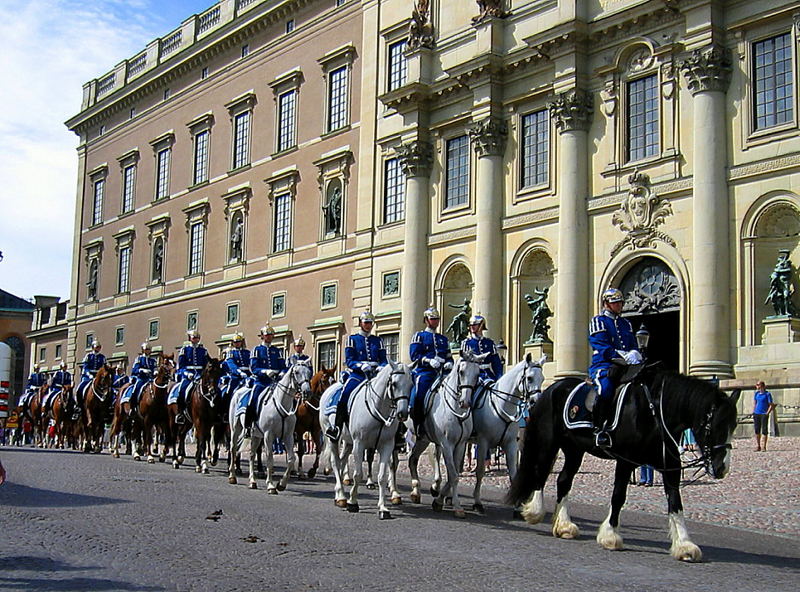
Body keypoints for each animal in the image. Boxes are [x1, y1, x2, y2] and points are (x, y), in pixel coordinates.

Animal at [228, 358, 312, 492]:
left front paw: (281, 484)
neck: (282, 404)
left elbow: (291, 459)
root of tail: (239, 391)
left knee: (252, 455)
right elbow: (269, 459)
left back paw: (252, 481)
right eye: (297, 372)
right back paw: (232, 476)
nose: (307, 392)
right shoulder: (269, 436)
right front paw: (271, 485)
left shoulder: (288, 436)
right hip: (235, 429)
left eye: (309, 372)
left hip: (256, 435)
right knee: (233, 448)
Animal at [318, 360, 412, 520]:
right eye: (394, 384)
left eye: (411, 384)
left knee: (342, 460)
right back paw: (342, 496)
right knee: (335, 462)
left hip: (348, 442)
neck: (379, 409)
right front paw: (353, 503)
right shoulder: (359, 444)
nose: (402, 414)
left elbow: (382, 476)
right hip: (333, 439)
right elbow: (358, 474)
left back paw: (339, 494)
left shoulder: (387, 445)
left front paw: (383, 508)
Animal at [410, 350, 490, 516]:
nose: (466, 402)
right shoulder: (446, 443)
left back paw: (416, 491)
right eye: (461, 371)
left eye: (477, 373)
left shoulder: (460, 444)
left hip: (422, 439)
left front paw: (439, 497)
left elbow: (455, 473)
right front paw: (456, 506)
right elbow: (453, 474)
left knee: (412, 459)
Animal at [472, 354, 548, 516]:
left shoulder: (511, 444)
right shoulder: (483, 442)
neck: (501, 405)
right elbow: (480, 471)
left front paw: (517, 507)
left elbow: (513, 473)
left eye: (543, 378)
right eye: (529, 378)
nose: (536, 402)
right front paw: (477, 502)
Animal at [510, 368, 740, 560]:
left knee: (563, 481)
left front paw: (684, 545)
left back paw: (564, 525)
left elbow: (676, 503)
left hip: (575, 449)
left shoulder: (670, 467)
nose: (722, 468)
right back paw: (535, 512)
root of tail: (552, 389)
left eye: (734, 425)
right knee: (541, 473)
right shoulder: (626, 461)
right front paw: (610, 535)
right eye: (712, 425)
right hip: (549, 442)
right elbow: (618, 496)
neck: (653, 413)